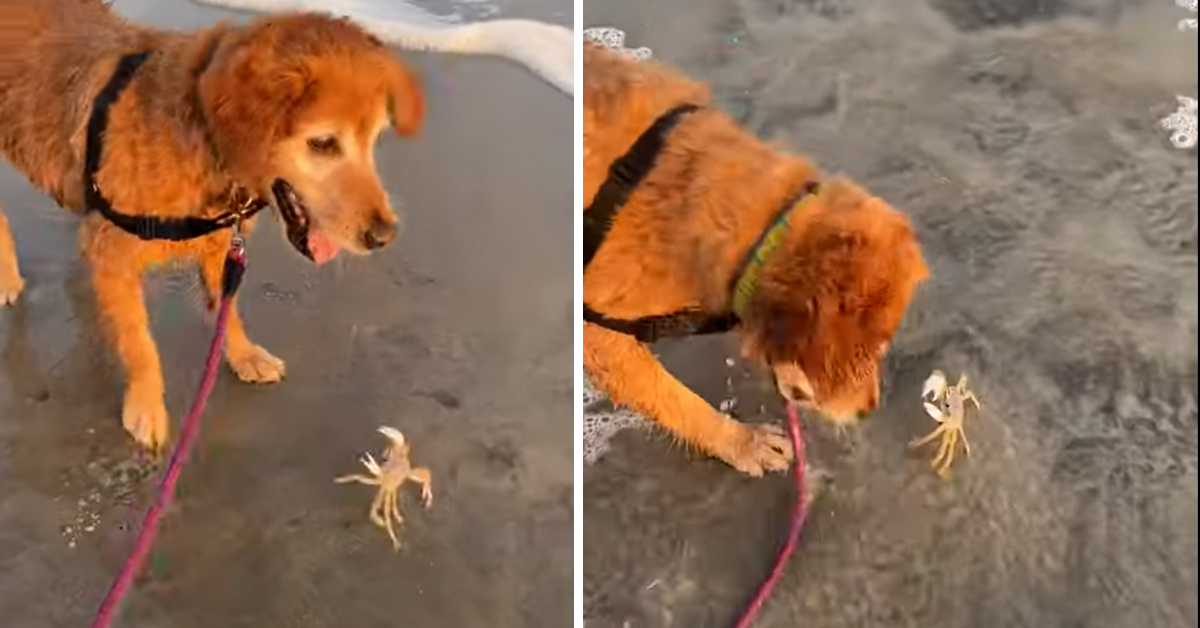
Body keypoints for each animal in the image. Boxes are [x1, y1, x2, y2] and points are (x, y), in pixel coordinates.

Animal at [1, 2, 422, 449]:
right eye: (323, 143)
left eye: (374, 139)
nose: (384, 235)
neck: (199, 138)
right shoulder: (116, 253)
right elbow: (139, 342)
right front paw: (146, 406)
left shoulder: (220, 246)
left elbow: (228, 311)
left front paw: (244, 355)